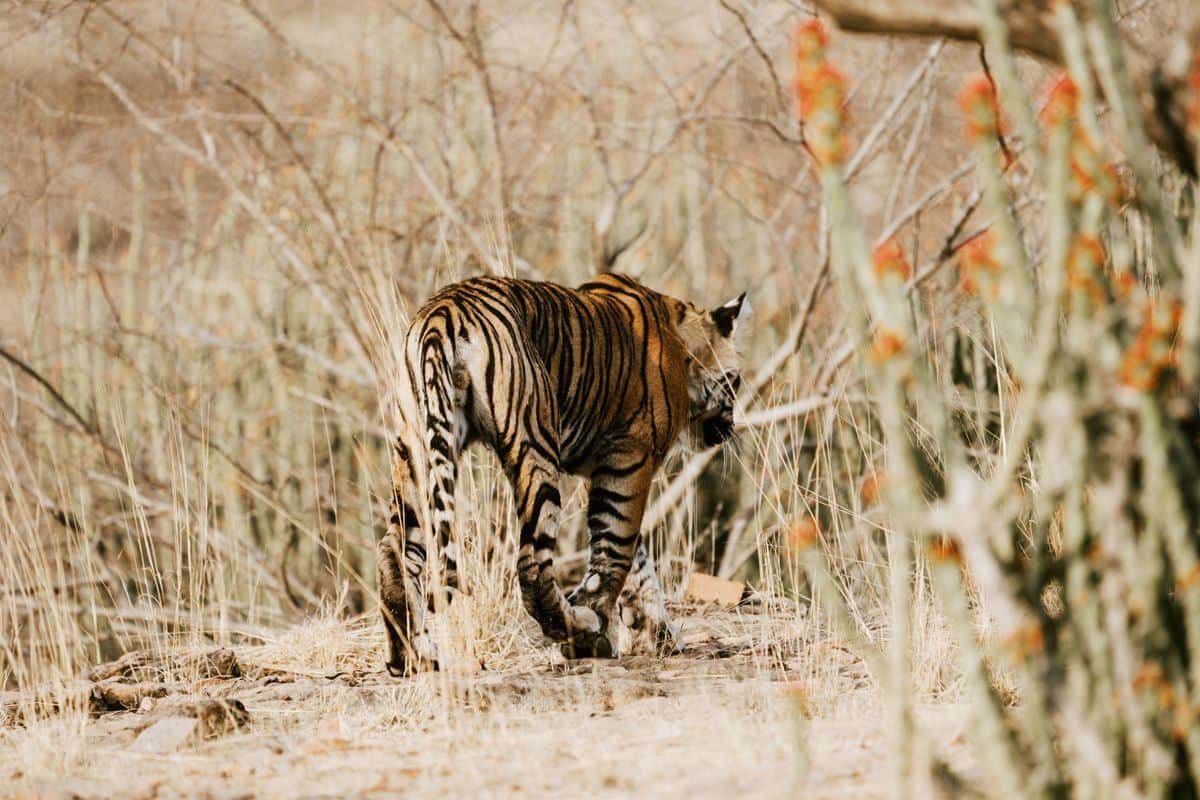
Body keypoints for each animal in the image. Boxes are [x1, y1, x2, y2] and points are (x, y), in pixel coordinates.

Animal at [379, 272, 744, 671]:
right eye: (737, 381)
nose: (733, 425)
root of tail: (442, 313)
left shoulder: (600, 472)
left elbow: (636, 560)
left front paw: (656, 632)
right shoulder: (630, 458)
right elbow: (617, 552)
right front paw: (601, 623)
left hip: (415, 449)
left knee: (394, 551)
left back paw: (412, 654)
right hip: (534, 446)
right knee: (532, 567)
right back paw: (579, 630)